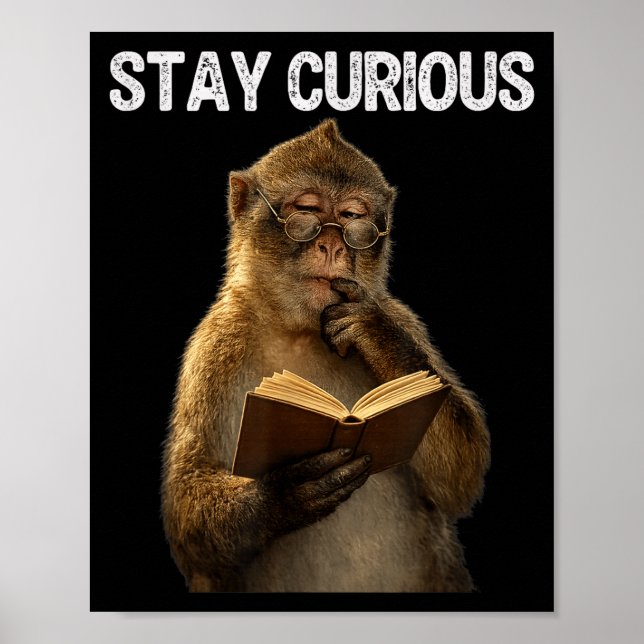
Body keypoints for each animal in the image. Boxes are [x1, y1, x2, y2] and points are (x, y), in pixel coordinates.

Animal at [161, 119, 490, 593]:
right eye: (308, 210)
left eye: (353, 218)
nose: (334, 246)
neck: (301, 330)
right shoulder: (213, 347)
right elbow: (188, 508)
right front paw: (283, 495)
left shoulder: (400, 316)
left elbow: (461, 475)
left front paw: (375, 334)